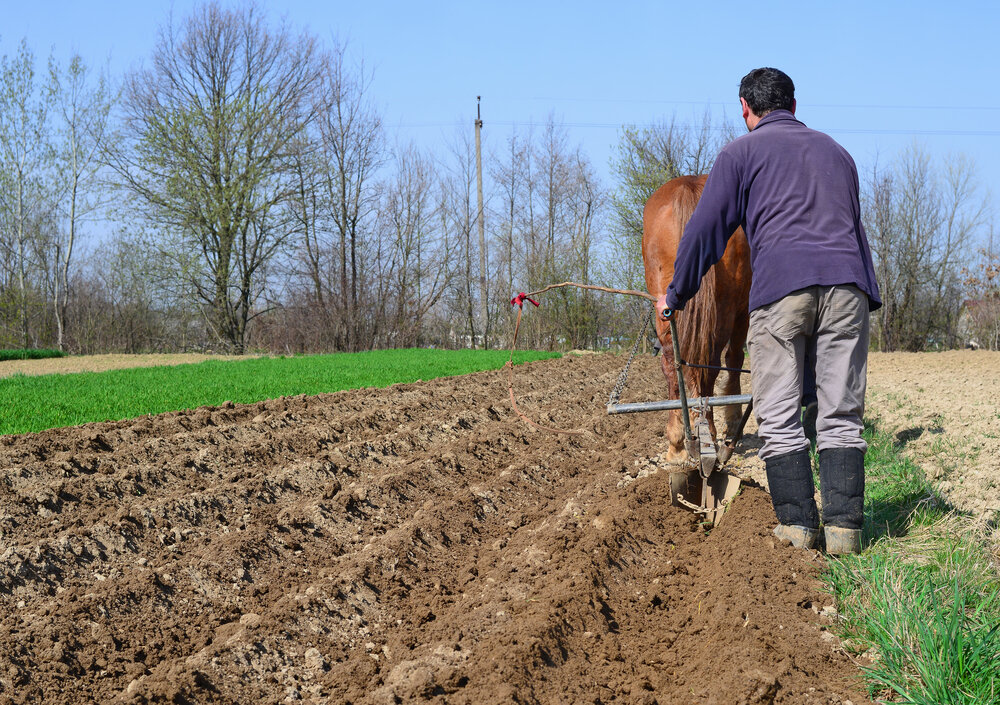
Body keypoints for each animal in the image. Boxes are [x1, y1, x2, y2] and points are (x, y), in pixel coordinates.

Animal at [648, 176, 752, 462]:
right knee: (712, 364)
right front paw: (733, 420)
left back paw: (677, 442)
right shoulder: (743, 310)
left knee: (672, 364)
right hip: (726, 307)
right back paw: (709, 434)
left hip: (663, 306)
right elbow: (735, 360)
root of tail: (688, 187)